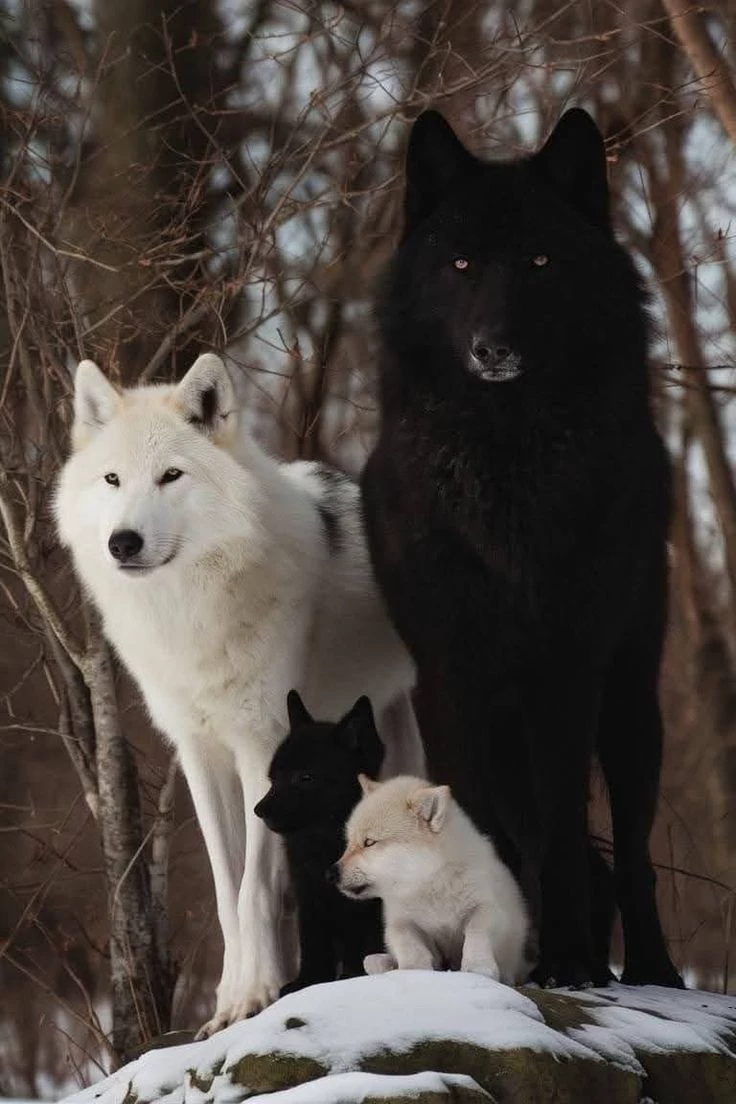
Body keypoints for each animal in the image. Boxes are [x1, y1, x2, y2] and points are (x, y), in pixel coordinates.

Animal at [254, 691, 385, 993]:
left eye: (305, 777)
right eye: (272, 779)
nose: (258, 811)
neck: (325, 844)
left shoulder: (367, 906)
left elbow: (361, 943)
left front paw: (351, 976)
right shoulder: (308, 898)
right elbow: (312, 944)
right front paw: (308, 982)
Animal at [335, 774, 529, 985]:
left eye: (369, 842)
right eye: (349, 843)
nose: (331, 873)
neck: (430, 885)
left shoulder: (488, 908)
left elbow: (476, 929)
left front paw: (478, 967)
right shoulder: (400, 921)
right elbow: (405, 939)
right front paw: (413, 971)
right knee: (372, 960)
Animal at [361, 108, 682, 989]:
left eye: (540, 262)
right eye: (461, 264)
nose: (492, 348)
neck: (505, 468)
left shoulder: (568, 668)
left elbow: (568, 827)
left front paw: (568, 959)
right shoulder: (449, 672)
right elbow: (477, 819)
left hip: (632, 702)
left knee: (632, 856)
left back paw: (647, 967)